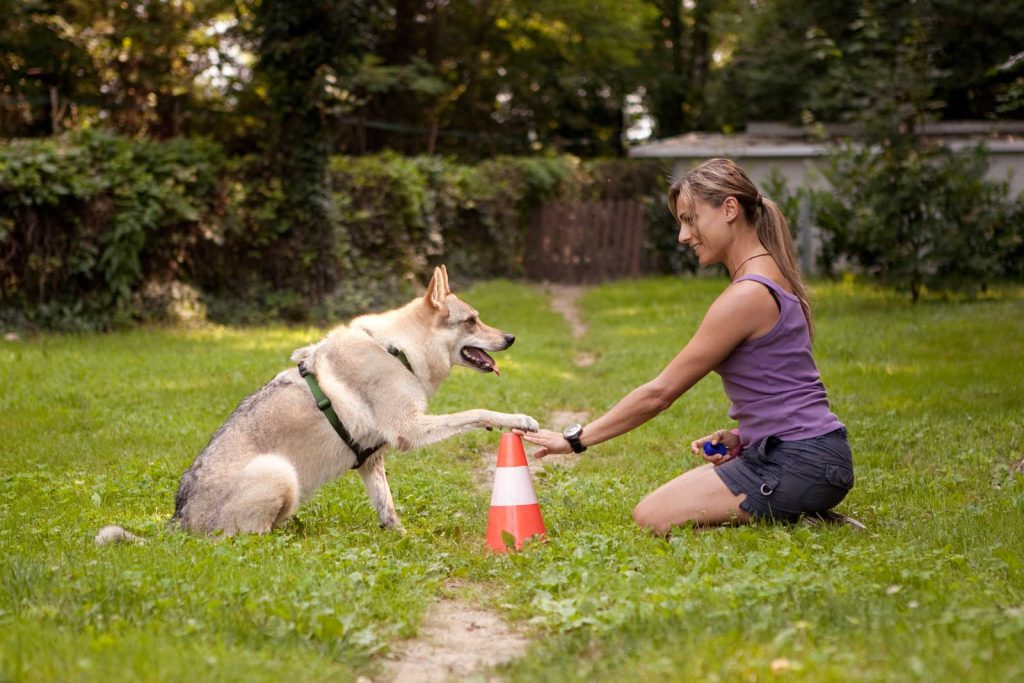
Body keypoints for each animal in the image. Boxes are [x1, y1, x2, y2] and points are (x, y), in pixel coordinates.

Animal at [99, 264, 540, 540]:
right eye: (472, 321)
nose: (512, 338)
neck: (400, 351)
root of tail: (178, 522)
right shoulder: (411, 431)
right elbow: (477, 412)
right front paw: (516, 419)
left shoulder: (372, 460)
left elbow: (388, 508)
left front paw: (400, 537)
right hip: (281, 474)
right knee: (243, 540)